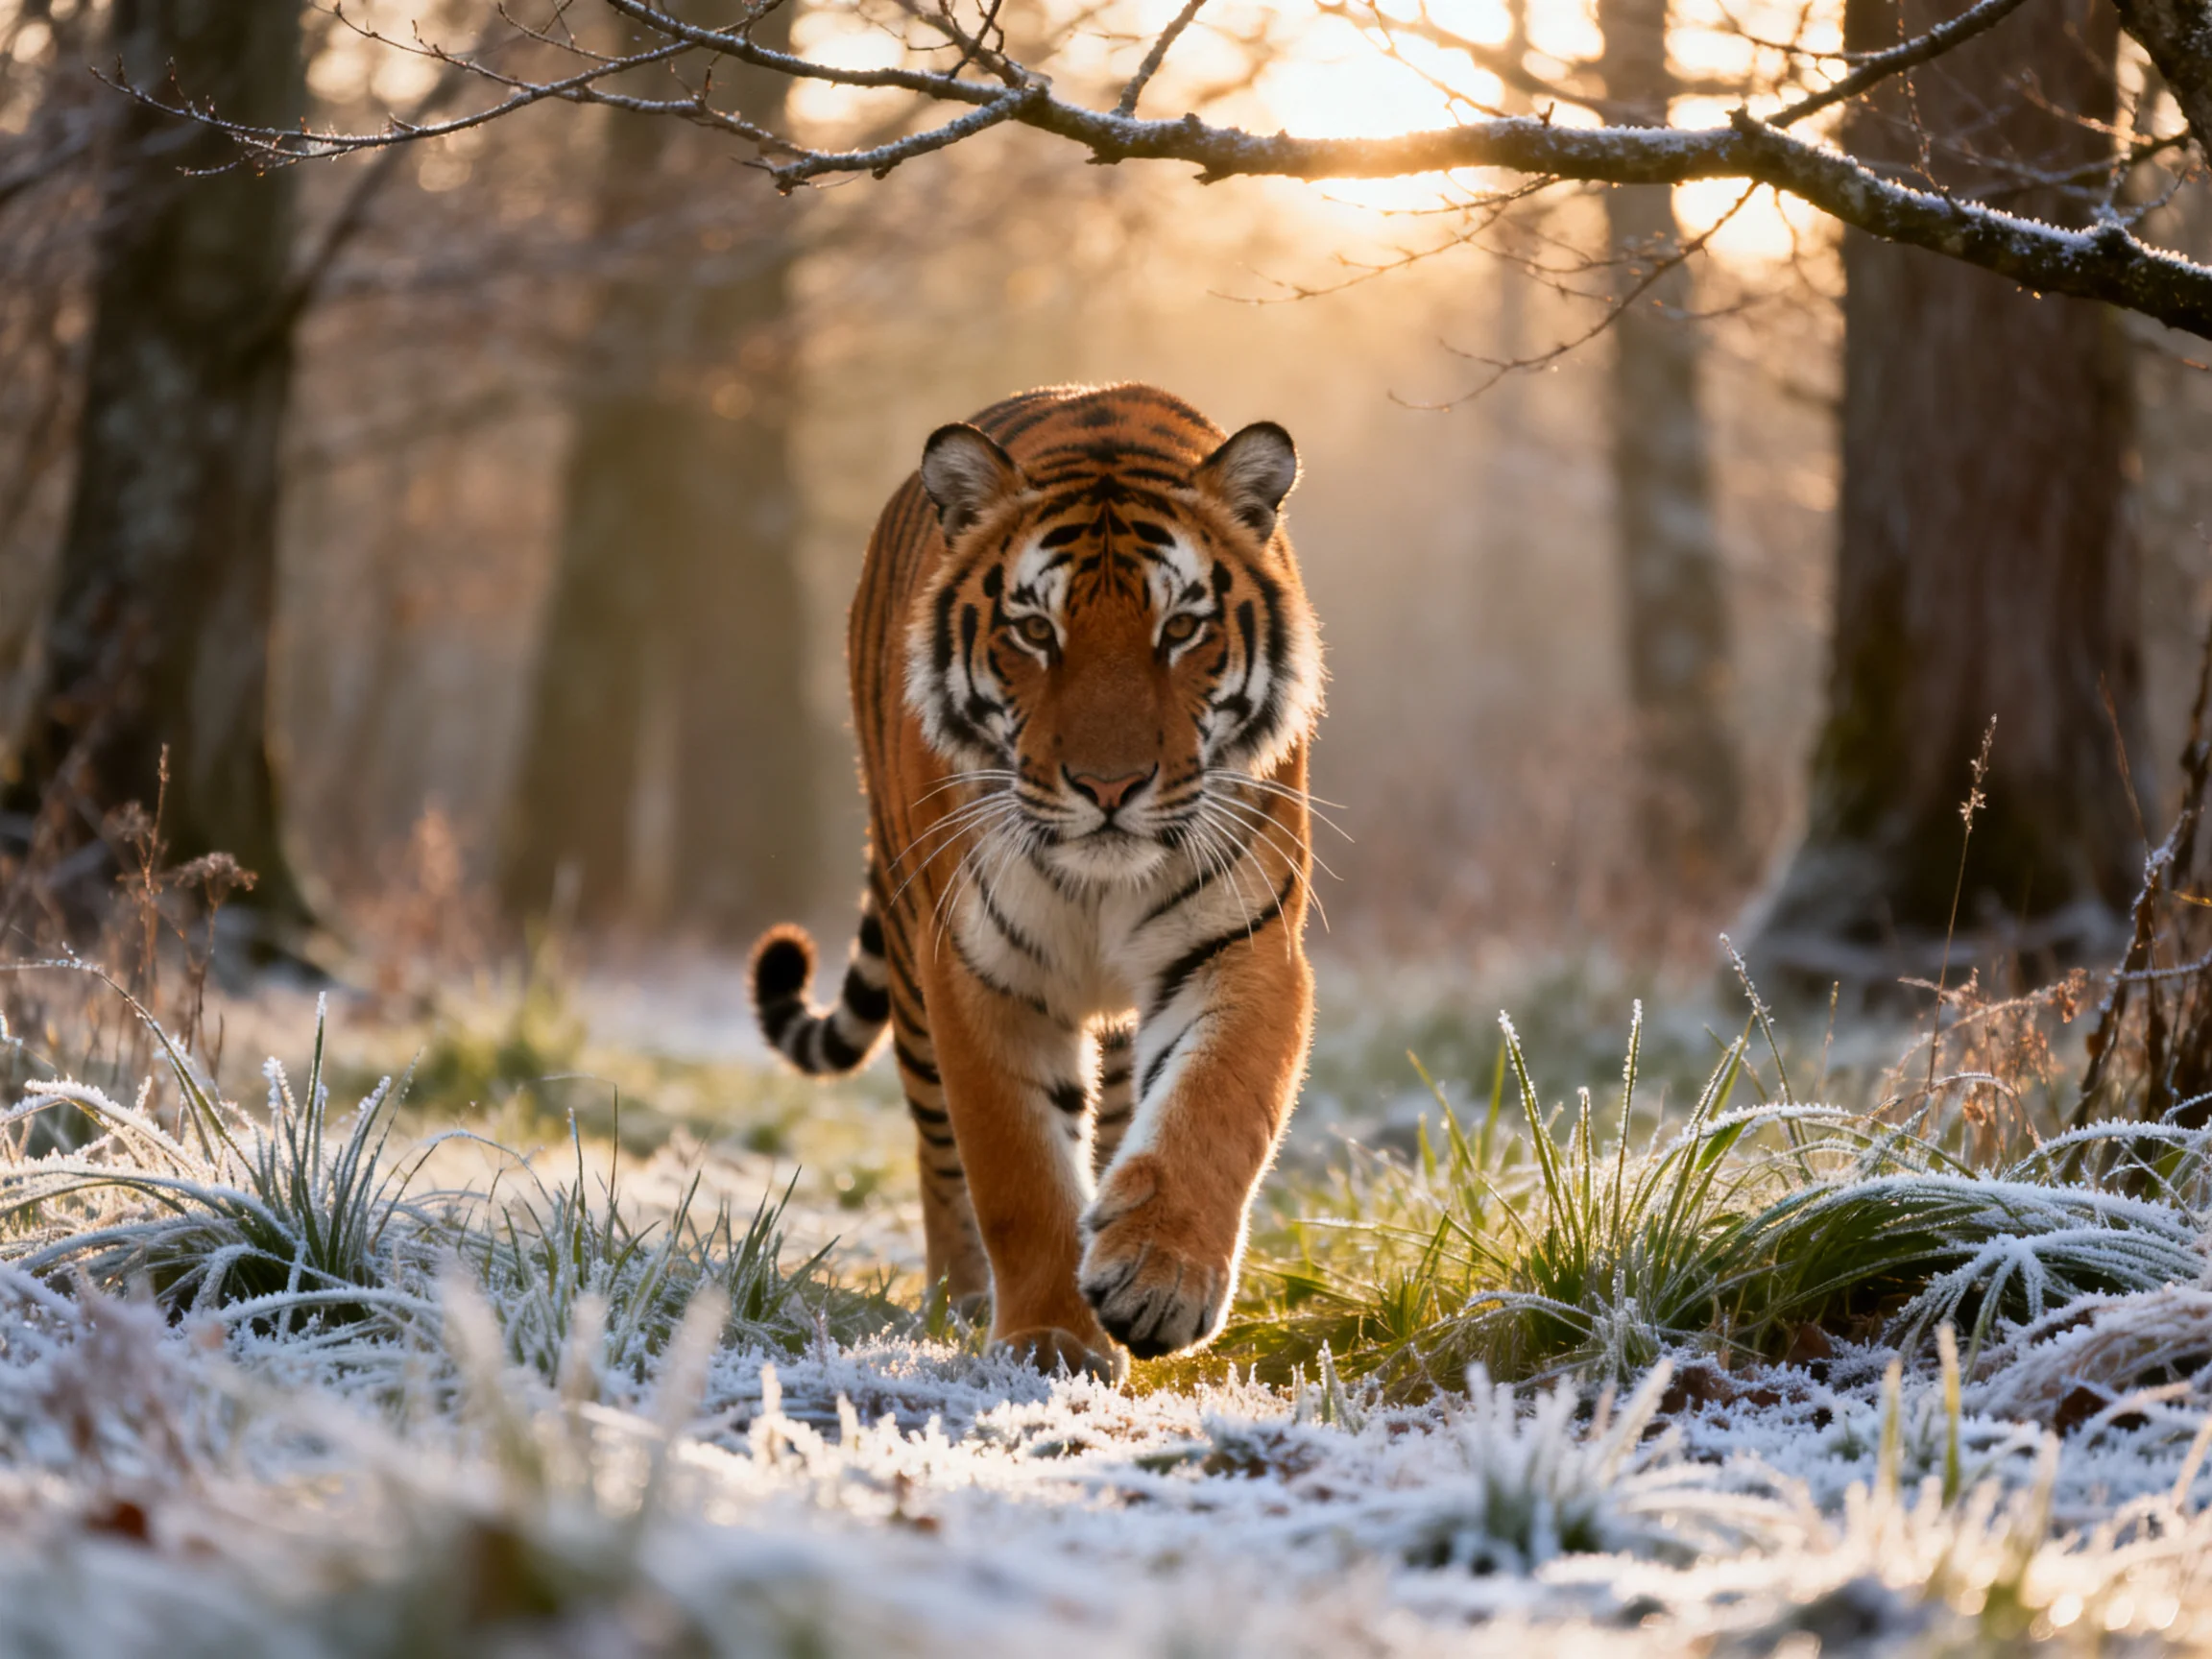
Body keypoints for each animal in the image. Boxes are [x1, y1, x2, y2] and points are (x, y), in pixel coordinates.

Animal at [749, 383, 1322, 1382]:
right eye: (1034, 631)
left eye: (1181, 629)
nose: (1109, 787)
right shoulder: (980, 972)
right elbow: (1014, 1170)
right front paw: (1052, 1341)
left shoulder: (1242, 947)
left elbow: (1213, 1108)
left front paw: (1158, 1278)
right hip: (909, 964)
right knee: (940, 1153)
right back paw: (963, 1301)